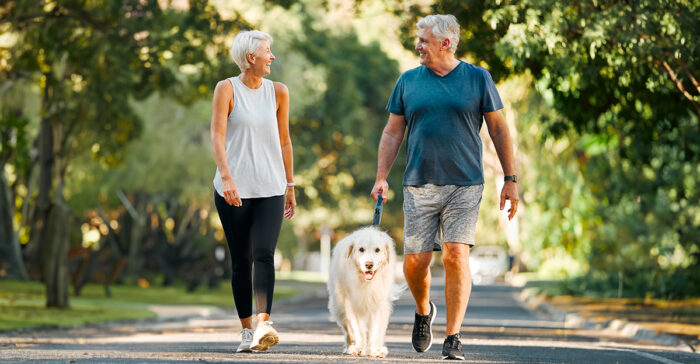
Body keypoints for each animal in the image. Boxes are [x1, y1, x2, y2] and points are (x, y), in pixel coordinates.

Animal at [326, 226, 400, 356]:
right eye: (361, 249)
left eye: (377, 250)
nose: (369, 265)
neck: (366, 283)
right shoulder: (353, 305)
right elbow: (358, 330)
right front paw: (360, 348)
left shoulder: (378, 304)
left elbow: (375, 330)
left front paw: (375, 350)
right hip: (339, 307)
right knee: (348, 330)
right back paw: (351, 347)